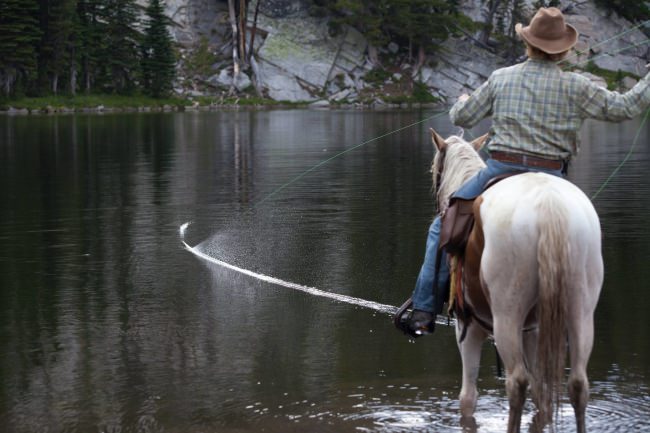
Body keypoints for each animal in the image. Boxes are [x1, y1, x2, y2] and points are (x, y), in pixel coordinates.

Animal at [429, 129, 603, 433]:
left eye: (433, 171)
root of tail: (549, 206)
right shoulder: (532, 329)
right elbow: (540, 391)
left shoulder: (468, 327)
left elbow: (468, 397)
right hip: (580, 309)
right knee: (578, 384)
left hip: (506, 316)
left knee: (516, 383)